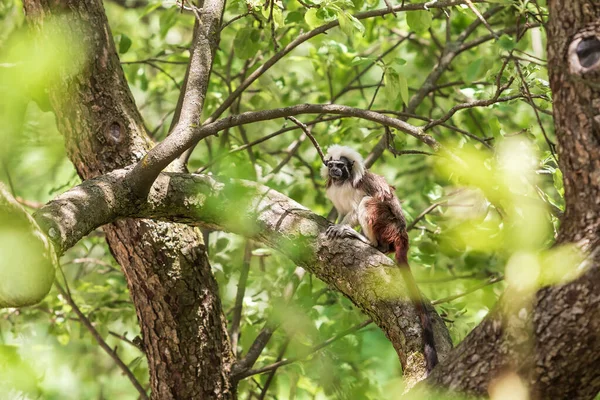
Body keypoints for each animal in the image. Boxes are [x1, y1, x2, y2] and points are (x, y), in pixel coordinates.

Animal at [322, 145, 438, 374]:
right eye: (331, 165)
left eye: (341, 166)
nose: (335, 171)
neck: (341, 183)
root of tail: (401, 234)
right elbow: (341, 211)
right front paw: (335, 222)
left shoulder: (356, 189)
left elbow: (354, 210)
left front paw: (341, 227)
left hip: (387, 225)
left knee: (368, 202)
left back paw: (369, 241)